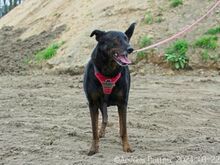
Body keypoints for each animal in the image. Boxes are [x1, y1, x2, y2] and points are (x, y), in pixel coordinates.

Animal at [83, 23, 135, 156]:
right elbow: (94, 129)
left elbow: (124, 128)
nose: (130, 49)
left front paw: (126, 146)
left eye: (126, 39)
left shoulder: (123, 103)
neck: (108, 73)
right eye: (115, 39)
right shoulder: (93, 104)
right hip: (101, 104)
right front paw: (93, 148)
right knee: (104, 118)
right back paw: (101, 133)